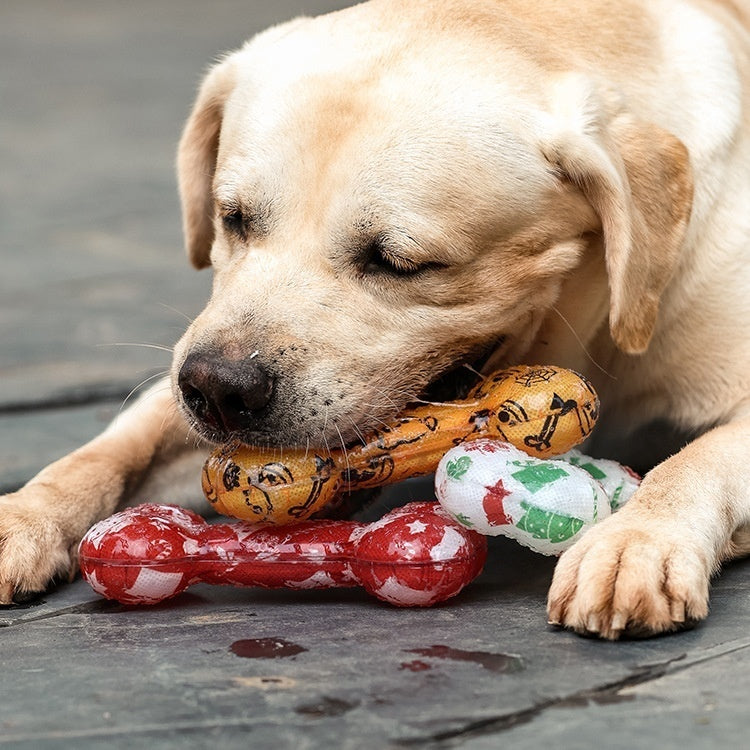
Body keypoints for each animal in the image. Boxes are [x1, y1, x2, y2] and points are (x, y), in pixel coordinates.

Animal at [1, 0, 750, 644]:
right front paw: (24, 513)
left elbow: (693, 463)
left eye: (398, 263)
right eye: (232, 218)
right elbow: (111, 450)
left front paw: (635, 541)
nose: (217, 388)